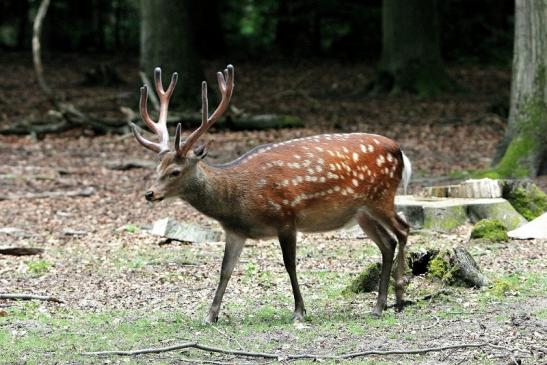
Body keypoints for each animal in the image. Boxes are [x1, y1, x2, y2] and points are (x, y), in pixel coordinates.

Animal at [132, 65, 412, 322]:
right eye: (158, 167)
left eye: (175, 171)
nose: (149, 194)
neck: (238, 202)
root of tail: (400, 152)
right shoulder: (235, 231)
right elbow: (225, 270)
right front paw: (210, 315)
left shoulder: (286, 216)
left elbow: (289, 264)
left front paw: (299, 311)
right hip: (361, 213)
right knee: (387, 243)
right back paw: (379, 306)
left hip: (381, 196)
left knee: (403, 229)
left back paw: (399, 297)